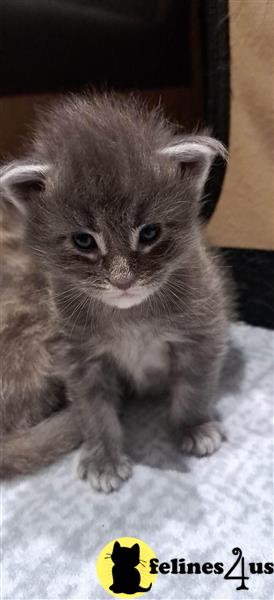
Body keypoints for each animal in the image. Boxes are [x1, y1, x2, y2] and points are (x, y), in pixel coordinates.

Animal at [1, 91, 230, 490]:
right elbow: (93, 410)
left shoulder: (203, 331)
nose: (123, 281)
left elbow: (193, 387)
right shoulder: (78, 355)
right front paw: (103, 459)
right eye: (83, 241)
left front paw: (194, 427)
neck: (131, 317)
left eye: (150, 233)